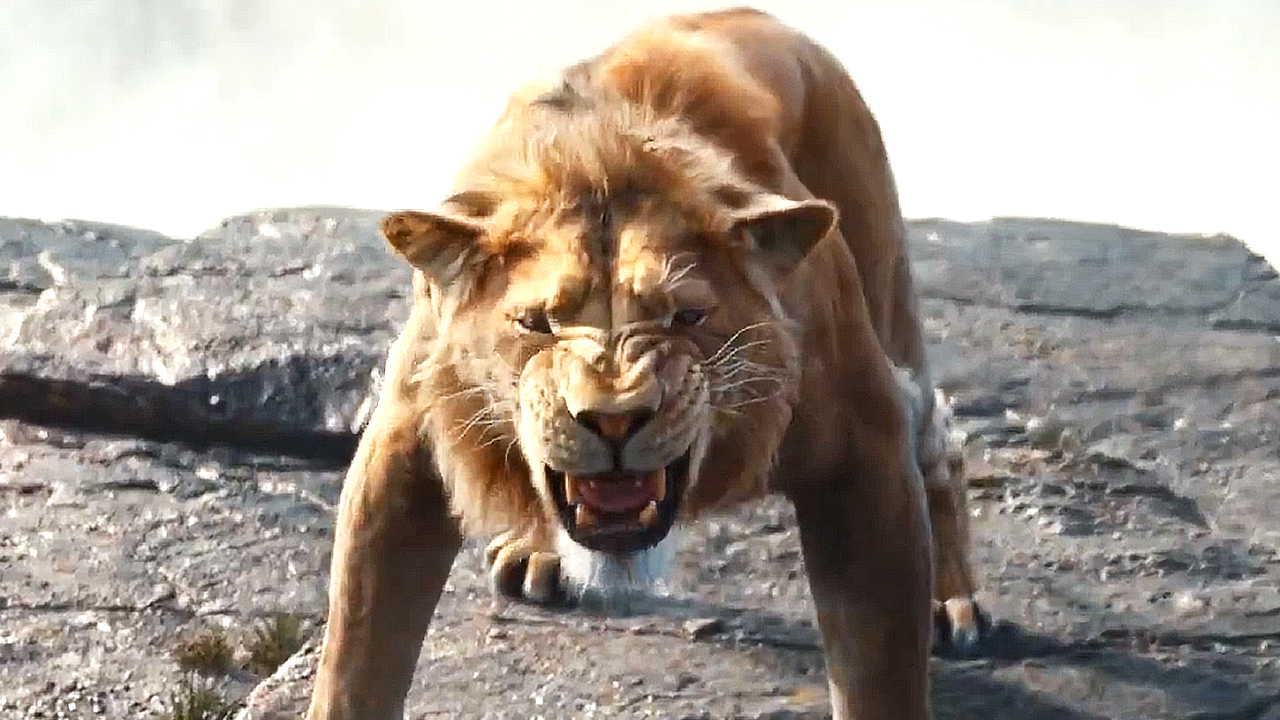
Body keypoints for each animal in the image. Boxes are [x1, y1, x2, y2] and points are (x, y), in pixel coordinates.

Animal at [305, 7, 986, 720]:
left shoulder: (864, 448)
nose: (613, 420)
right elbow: (355, 659)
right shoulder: (404, 444)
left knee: (940, 443)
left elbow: (879, 674)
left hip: (888, 294)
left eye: (684, 317)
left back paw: (952, 603)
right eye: (537, 323)